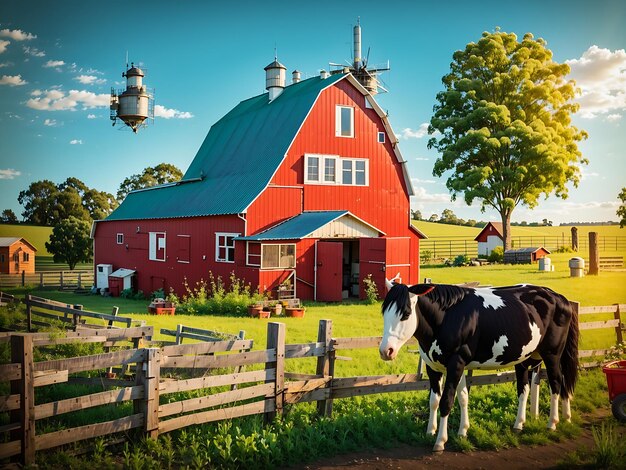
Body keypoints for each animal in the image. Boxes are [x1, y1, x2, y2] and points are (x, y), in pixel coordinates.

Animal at [376, 282, 576, 452]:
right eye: (384, 313)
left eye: (405, 313)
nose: (386, 351)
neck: (447, 317)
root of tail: (558, 297)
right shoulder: (435, 367)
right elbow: (446, 399)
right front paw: (447, 431)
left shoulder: (455, 363)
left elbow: (447, 401)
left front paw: (440, 441)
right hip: (525, 358)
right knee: (525, 388)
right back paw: (523, 423)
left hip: (552, 354)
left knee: (556, 382)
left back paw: (553, 422)